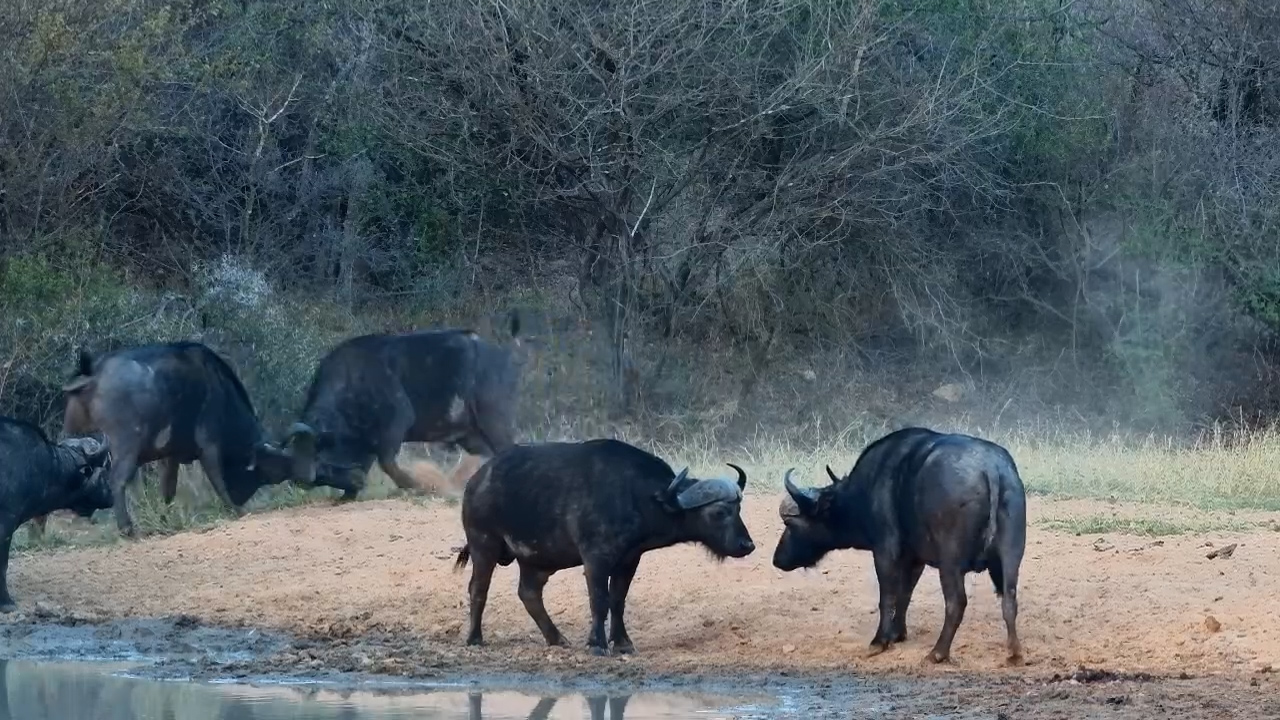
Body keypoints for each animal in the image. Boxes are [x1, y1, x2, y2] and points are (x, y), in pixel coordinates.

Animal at [60, 342, 295, 537]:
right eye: (264, 472)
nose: (243, 497)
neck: (219, 389)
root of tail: (95, 373)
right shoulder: (209, 446)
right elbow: (218, 480)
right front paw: (237, 510)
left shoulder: (170, 457)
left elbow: (168, 490)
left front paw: (164, 520)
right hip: (126, 448)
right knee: (117, 481)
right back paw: (127, 528)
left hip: (72, 438)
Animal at [279, 316, 524, 498]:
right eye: (321, 476)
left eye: (321, 464)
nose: (357, 482)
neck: (350, 382)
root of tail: (502, 355)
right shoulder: (366, 444)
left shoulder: (395, 423)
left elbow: (388, 463)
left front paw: (416, 485)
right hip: (470, 436)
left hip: (493, 420)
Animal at [454, 439, 756, 655]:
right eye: (719, 512)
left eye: (739, 509)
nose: (747, 545)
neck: (637, 495)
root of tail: (475, 482)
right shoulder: (595, 559)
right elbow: (598, 600)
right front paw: (597, 644)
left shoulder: (629, 560)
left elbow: (618, 600)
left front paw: (623, 643)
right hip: (484, 544)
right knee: (478, 588)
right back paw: (474, 638)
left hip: (535, 560)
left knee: (529, 593)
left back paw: (557, 638)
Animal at [773, 427, 1027, 665]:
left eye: (790, 523)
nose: (777, 559)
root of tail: (991, 469)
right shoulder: (915, 559)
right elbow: (905, 593)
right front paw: (897, 633)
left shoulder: (885, 550)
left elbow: (888, 596)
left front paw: (880, 640)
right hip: (1011, 553)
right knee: (1009, 598)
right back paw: (1014, 652)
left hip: (950, 560)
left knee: (956, 602)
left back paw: (937, 652)